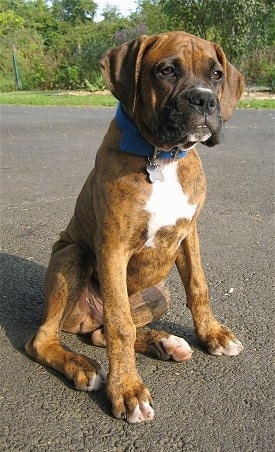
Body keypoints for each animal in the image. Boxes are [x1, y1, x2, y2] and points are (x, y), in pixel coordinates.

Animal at [25, 31, 245, 424]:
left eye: (217, 74)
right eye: (166, 70)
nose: (204, 99)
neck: (162, 156)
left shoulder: (189, 234)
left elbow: (199, 287)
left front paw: (213, 335)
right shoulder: (113, 246)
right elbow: (121, 327)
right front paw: (126, 390)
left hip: (160, 292)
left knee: (99, 332)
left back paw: (165, 342)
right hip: (73, 255)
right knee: (48, 337)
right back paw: (83, 366)